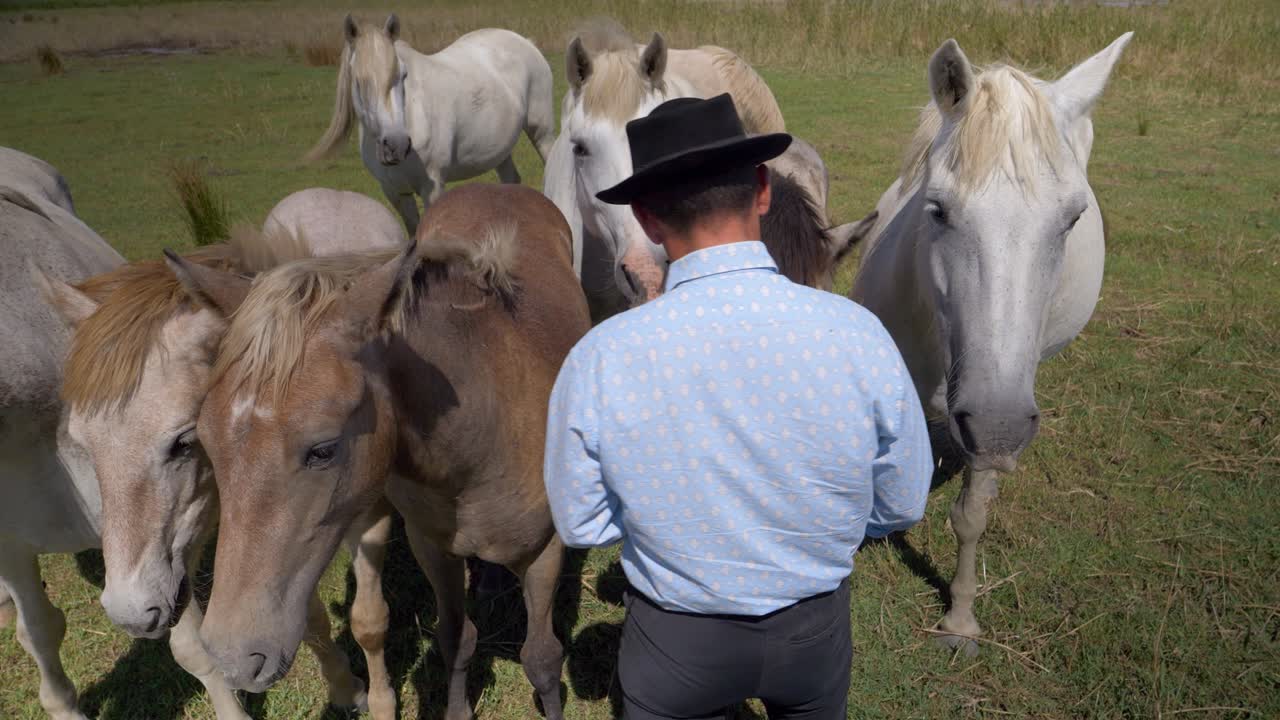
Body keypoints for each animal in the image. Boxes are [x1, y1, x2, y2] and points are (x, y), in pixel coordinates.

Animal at [35, 187, 411, 718]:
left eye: (183, 441)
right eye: (82, 443)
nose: (129, 611)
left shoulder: (368, 513)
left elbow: (369, 618)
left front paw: (376, 698)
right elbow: (307, 619)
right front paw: (343, 686)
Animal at [165, 184, 589, 720]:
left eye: (323, 450)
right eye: (205, 442)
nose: (235, 659)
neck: (486, 435)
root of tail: (497, 186)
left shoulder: (545, 555)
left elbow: (542, 658)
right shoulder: (434, 549)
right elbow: (457, 640)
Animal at [306, 14, 556, 237]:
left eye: (403, 75)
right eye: (358, 81)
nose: (396, 144)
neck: (411, 116)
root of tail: (525, 42)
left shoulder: (433, 188)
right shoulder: (396, 193)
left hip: (541, 134)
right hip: (500, 151)